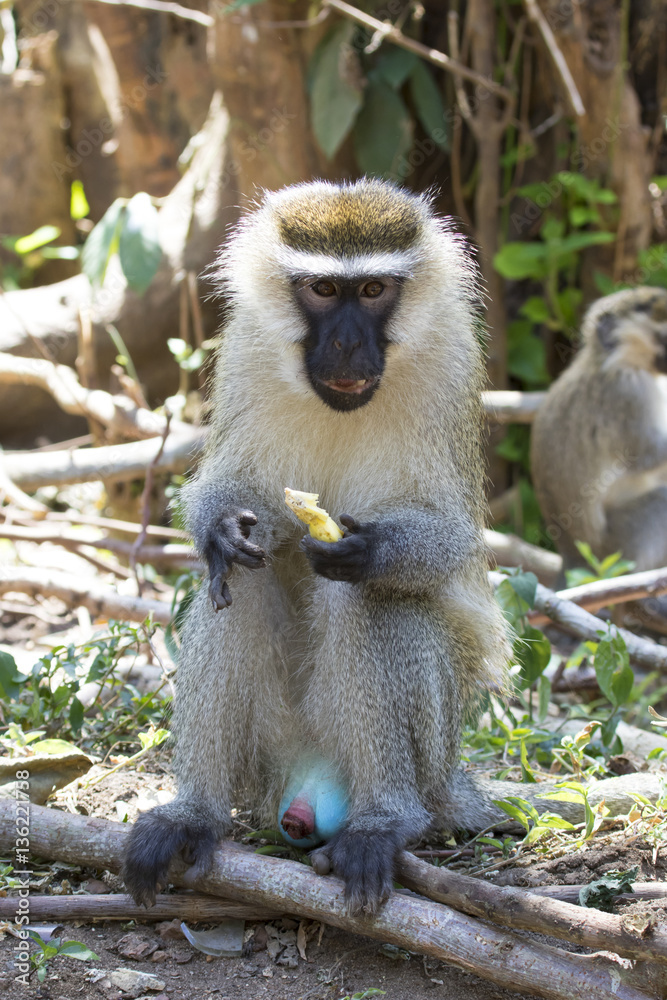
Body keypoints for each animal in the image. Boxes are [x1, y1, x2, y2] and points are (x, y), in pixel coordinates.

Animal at [121, 178, 513, 915]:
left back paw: (386, 821)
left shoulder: (451, 362)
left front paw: (374, 549)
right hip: (272, 751)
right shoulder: (246, 349)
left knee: (368, 598)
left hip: (432, 750)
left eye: (374, 291)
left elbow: (447, 538)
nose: (349, 344)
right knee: (239, 584)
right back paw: (195, 814)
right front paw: (223, 526)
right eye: (324, 291)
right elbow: (236, 497)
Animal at [531, 286, 667, 577]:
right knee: (661, 501)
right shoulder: (627, 395)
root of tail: (574, 559)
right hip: (620, 547)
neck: (615, 363)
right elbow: (646, 457)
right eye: (664, 337)